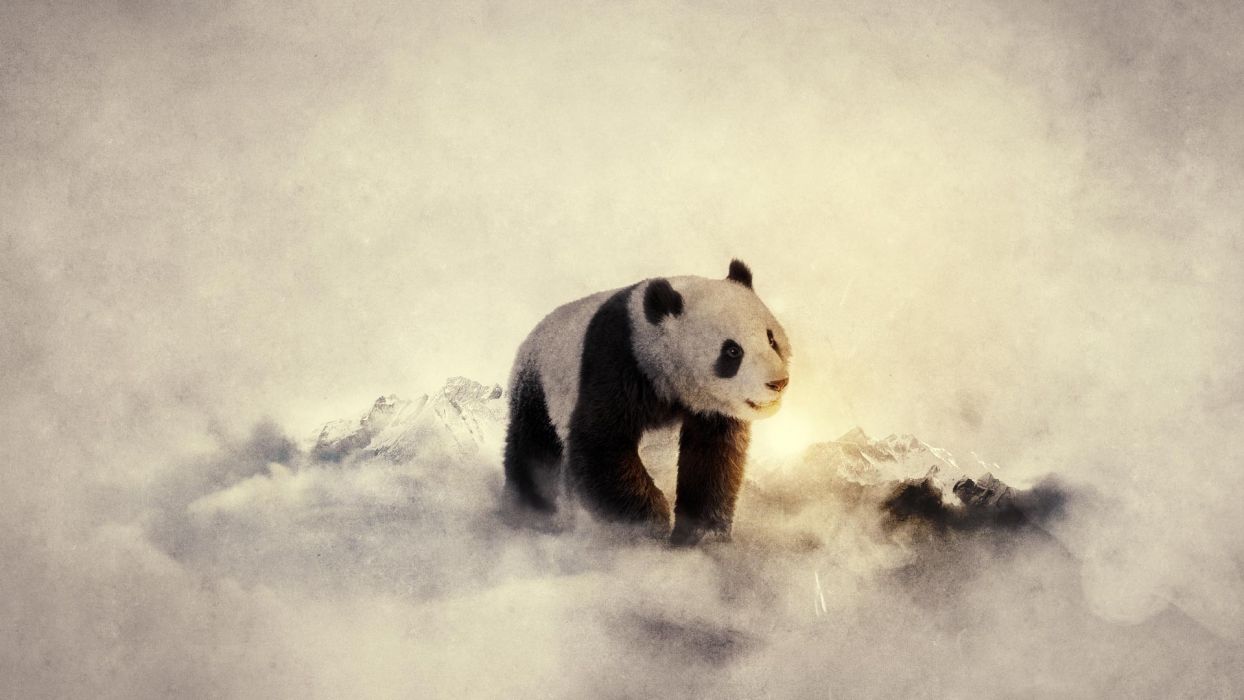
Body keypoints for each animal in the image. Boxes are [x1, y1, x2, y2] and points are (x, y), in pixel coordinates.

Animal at [503, 259, 792, 545]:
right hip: (539, 385)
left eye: (771, 339)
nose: (778, 382)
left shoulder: (711, 408)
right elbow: (600, 441)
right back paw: (533, 512)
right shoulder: (619, 361)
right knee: (535, 451)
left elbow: (712, 457)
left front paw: (702, 533)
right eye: (732, 351)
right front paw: (650, 525)